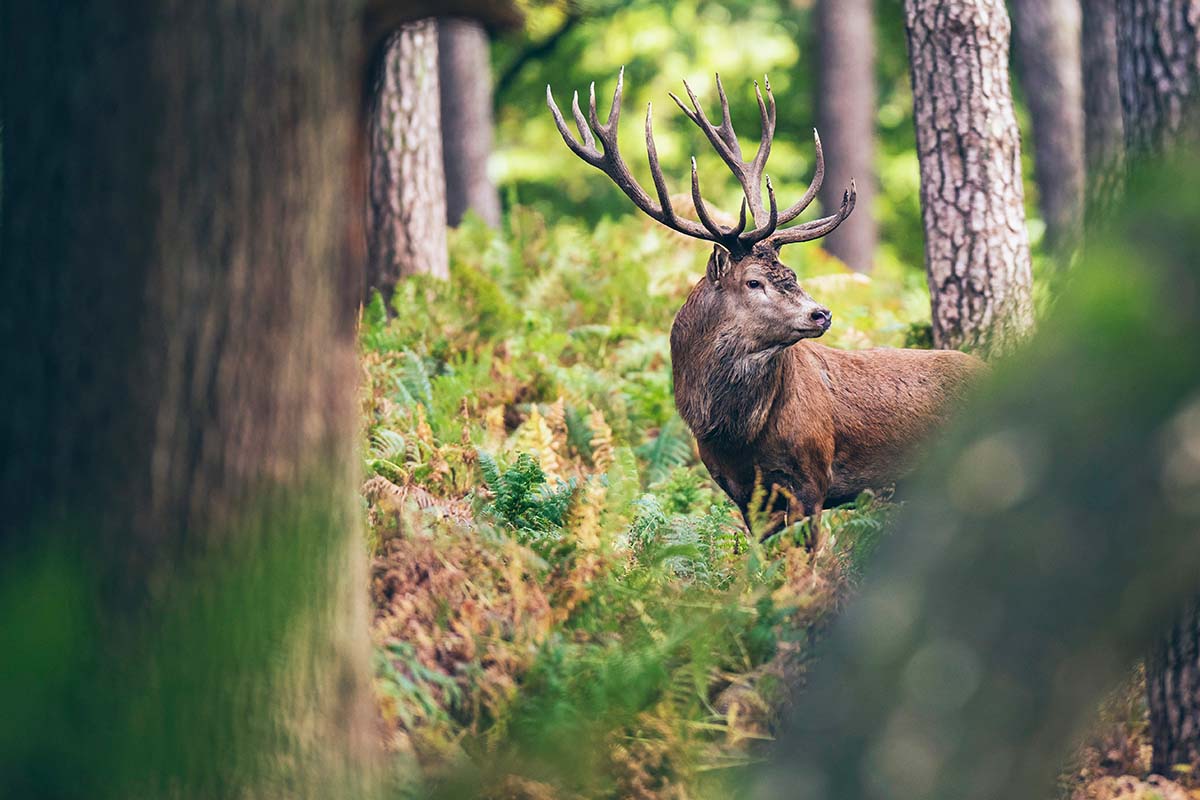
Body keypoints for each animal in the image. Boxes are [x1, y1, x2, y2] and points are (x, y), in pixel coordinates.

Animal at [549, 71, 979, 546]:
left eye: (792, 272)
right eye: (754, 281)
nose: (821, 313)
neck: (737, 435)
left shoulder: (812, 477)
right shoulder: (740, 490)